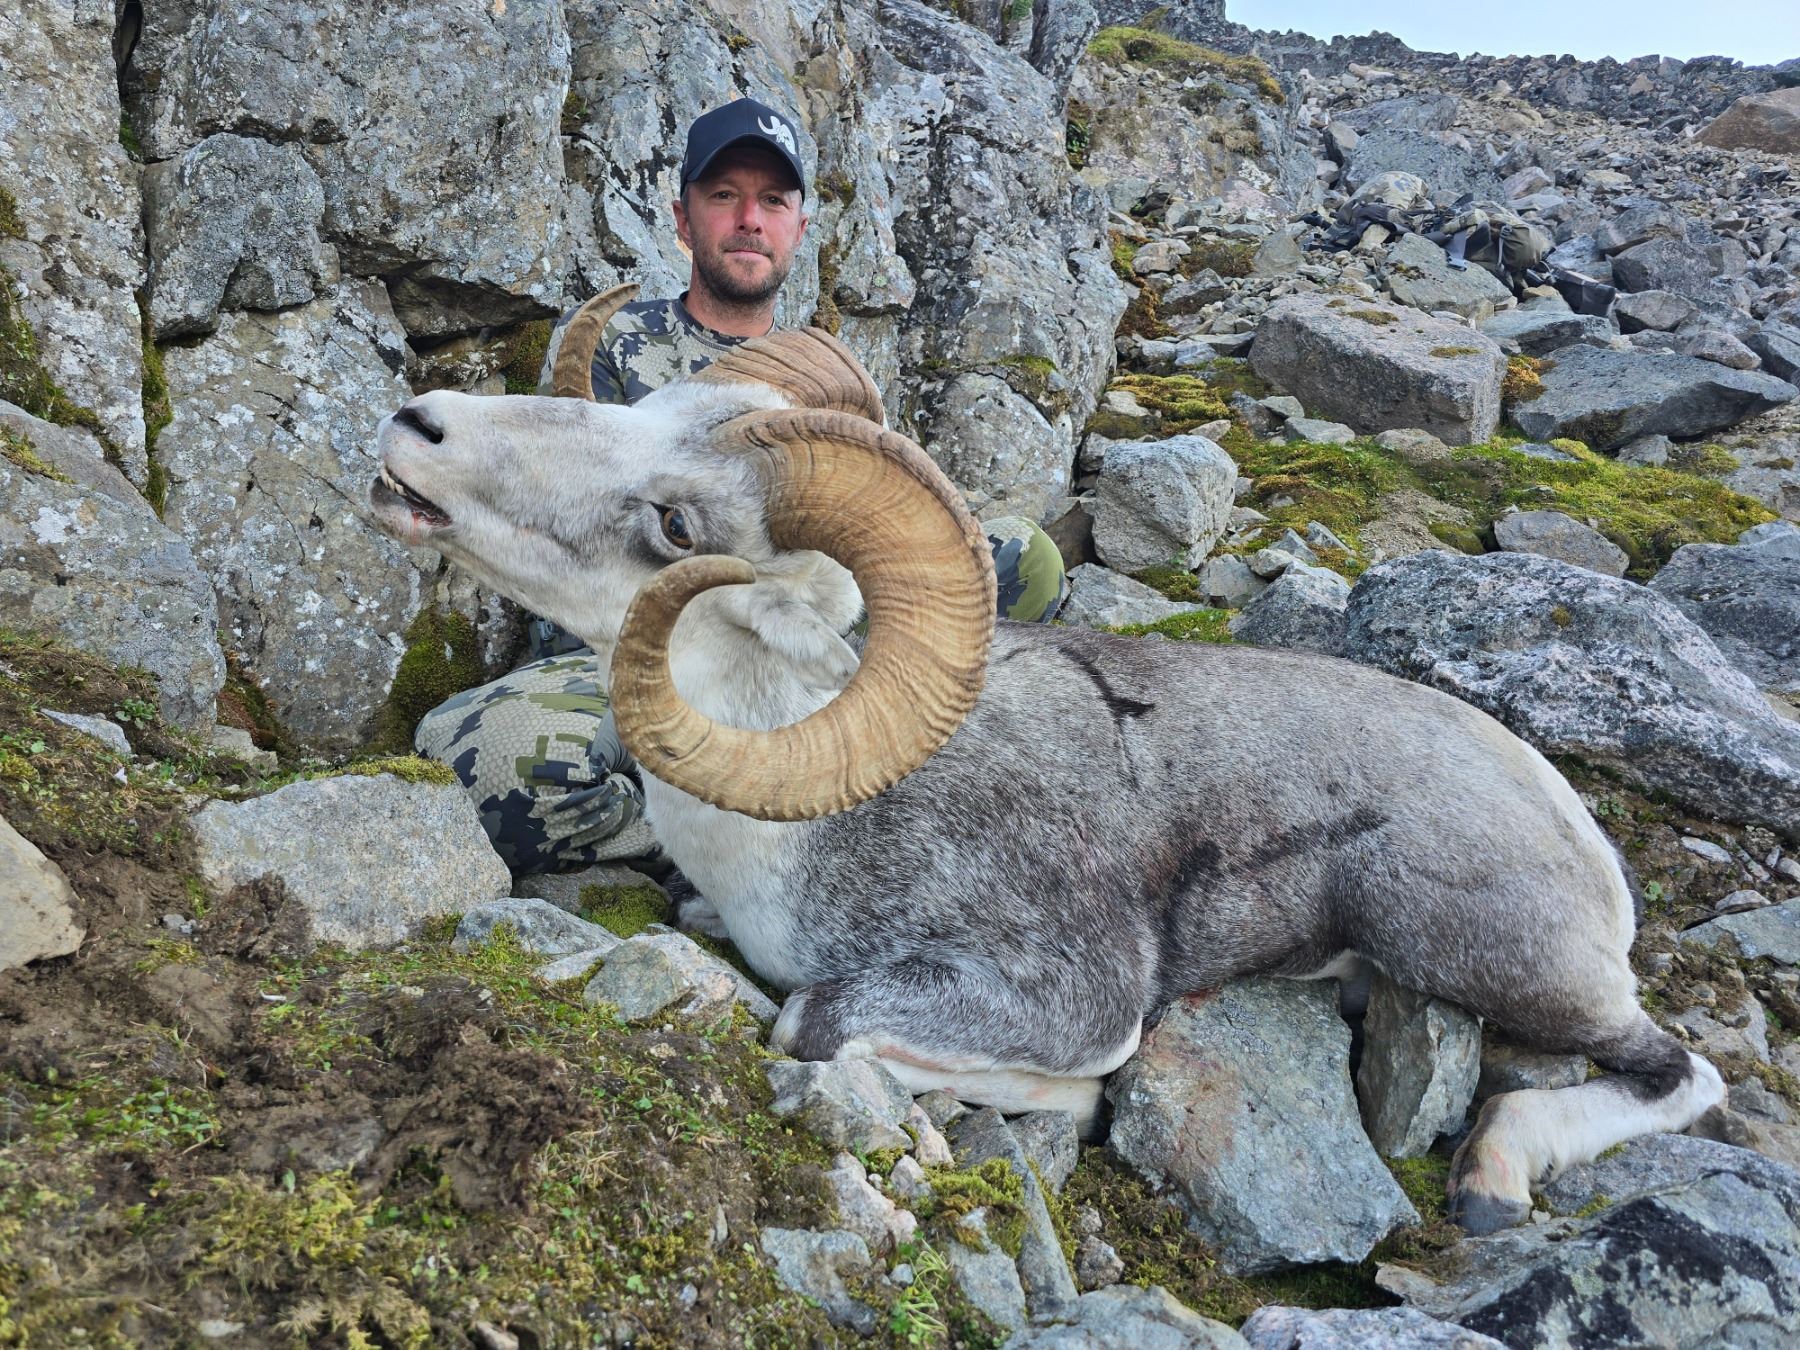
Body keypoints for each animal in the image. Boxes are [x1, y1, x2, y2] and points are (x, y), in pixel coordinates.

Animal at [367, 287, 1725, 1235]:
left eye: (675, 522)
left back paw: (1491, 1181)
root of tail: (1578, 834)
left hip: (1474, 950)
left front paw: (1057, 1109)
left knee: (1680, 1073)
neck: (787, 840)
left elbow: (817, 1021)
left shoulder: (1060, 995)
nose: (415, 428)